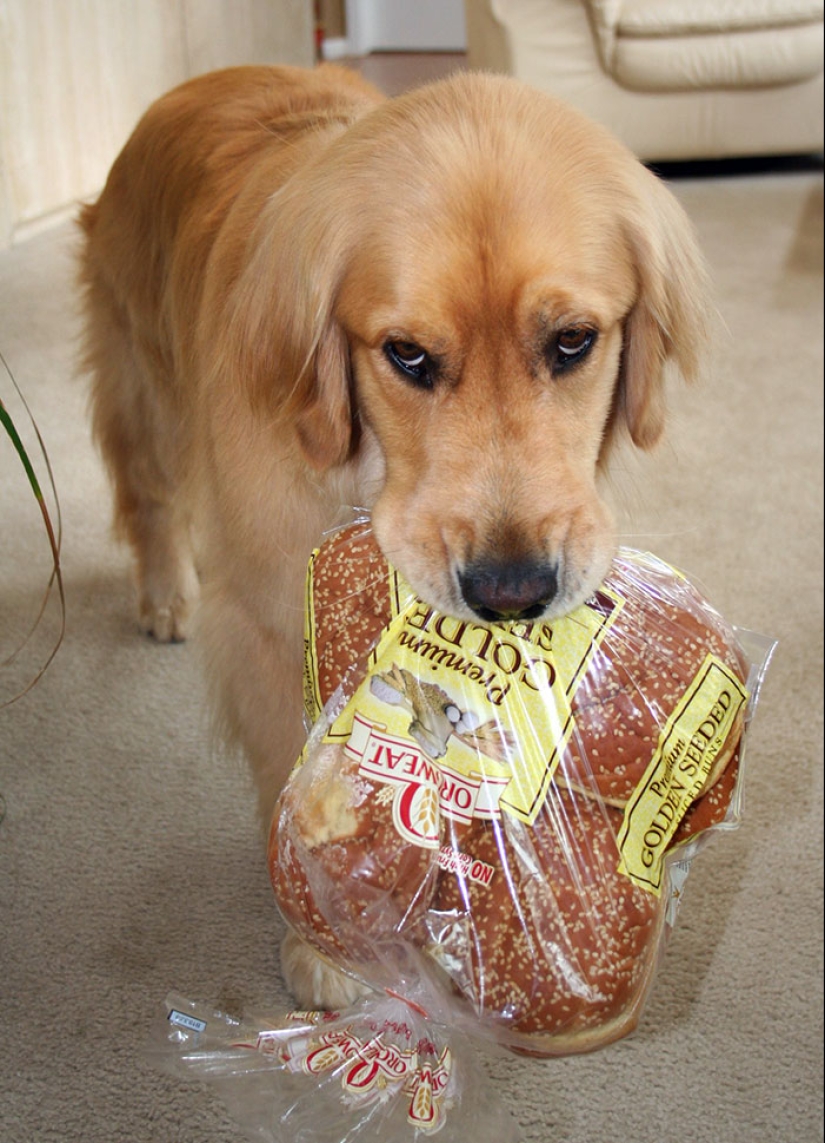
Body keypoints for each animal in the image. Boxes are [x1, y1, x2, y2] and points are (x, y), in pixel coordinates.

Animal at [78, 64, 708, 1010]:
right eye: (406, 354)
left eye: (572, 341)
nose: (512, 592)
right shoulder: (268, 612)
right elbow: (294, 770)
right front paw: (329, 943)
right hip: (143, 376)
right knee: (150, 491)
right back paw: (164, 590)